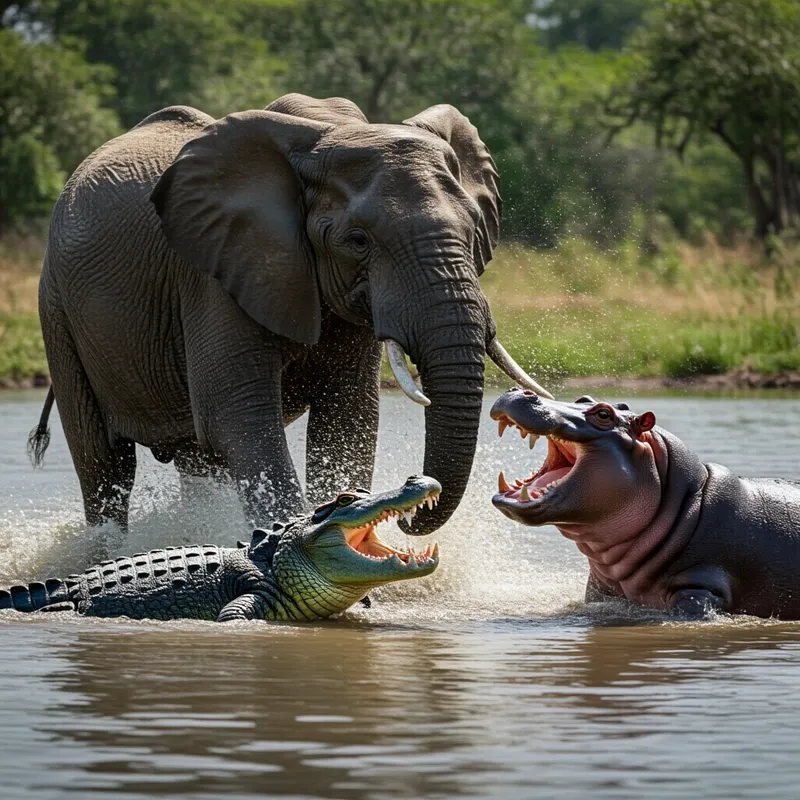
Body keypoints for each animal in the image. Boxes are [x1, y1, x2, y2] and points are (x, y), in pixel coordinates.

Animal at [29, 93, 549, 536]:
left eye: (472, 228)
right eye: (357, 241)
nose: (412, 504)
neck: (326, 130)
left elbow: (347, 418)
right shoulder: (214, 275)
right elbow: (239, 419)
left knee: (197, 460)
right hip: (56, 310)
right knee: (105, 465)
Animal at [490, 388, 800, 619]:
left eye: (603, 414)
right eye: (583, 399)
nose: (520, 391)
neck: (684, 506)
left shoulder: (699, 589)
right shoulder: (600, 594)